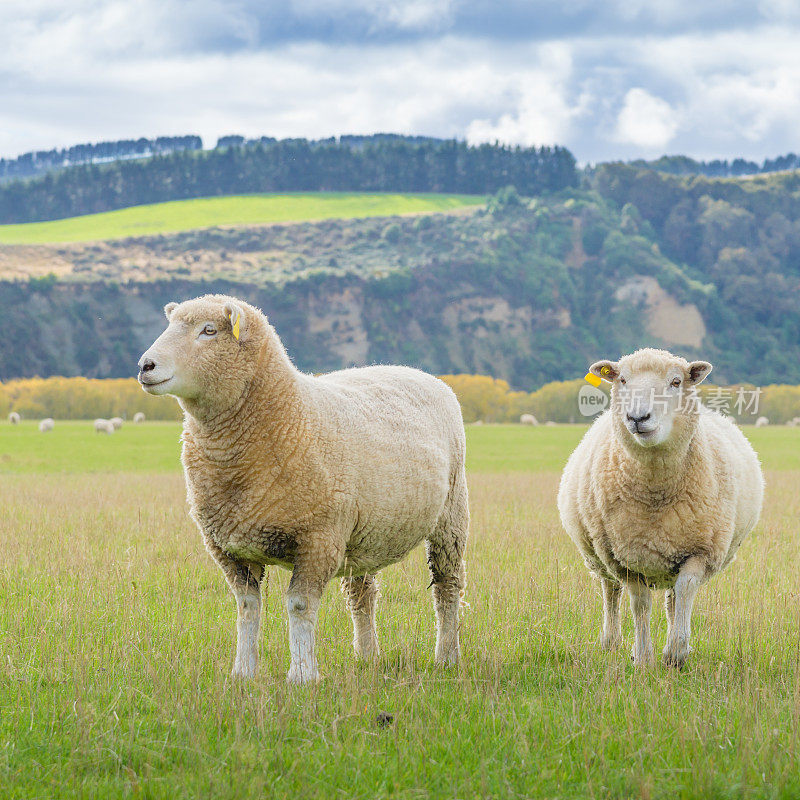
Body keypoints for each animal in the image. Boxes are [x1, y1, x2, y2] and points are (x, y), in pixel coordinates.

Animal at [134, 296, 466, 684]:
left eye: (209, 330)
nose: (145, 366)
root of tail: (415, 371)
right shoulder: (227, 546)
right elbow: (247, 607)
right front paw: (243, 672)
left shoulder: (317, 538)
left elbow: (299, 605)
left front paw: (303, 674)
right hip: (362, 533)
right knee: (362, 594)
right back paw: (367, 656)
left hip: (451, 515)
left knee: (446, 587)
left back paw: (447, 657)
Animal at [556, 350, 764, 668]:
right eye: (622, 379)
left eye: (676, 382)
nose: (637, 417)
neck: (655, 493)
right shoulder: (625, 557)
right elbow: (639, 603)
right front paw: (643, 658)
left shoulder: (700, 550)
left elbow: (685, 591)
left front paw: (675, 653)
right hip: (599, 554)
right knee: (610, 592)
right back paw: (611, 641)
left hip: (672, 556)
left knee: (674, 599)